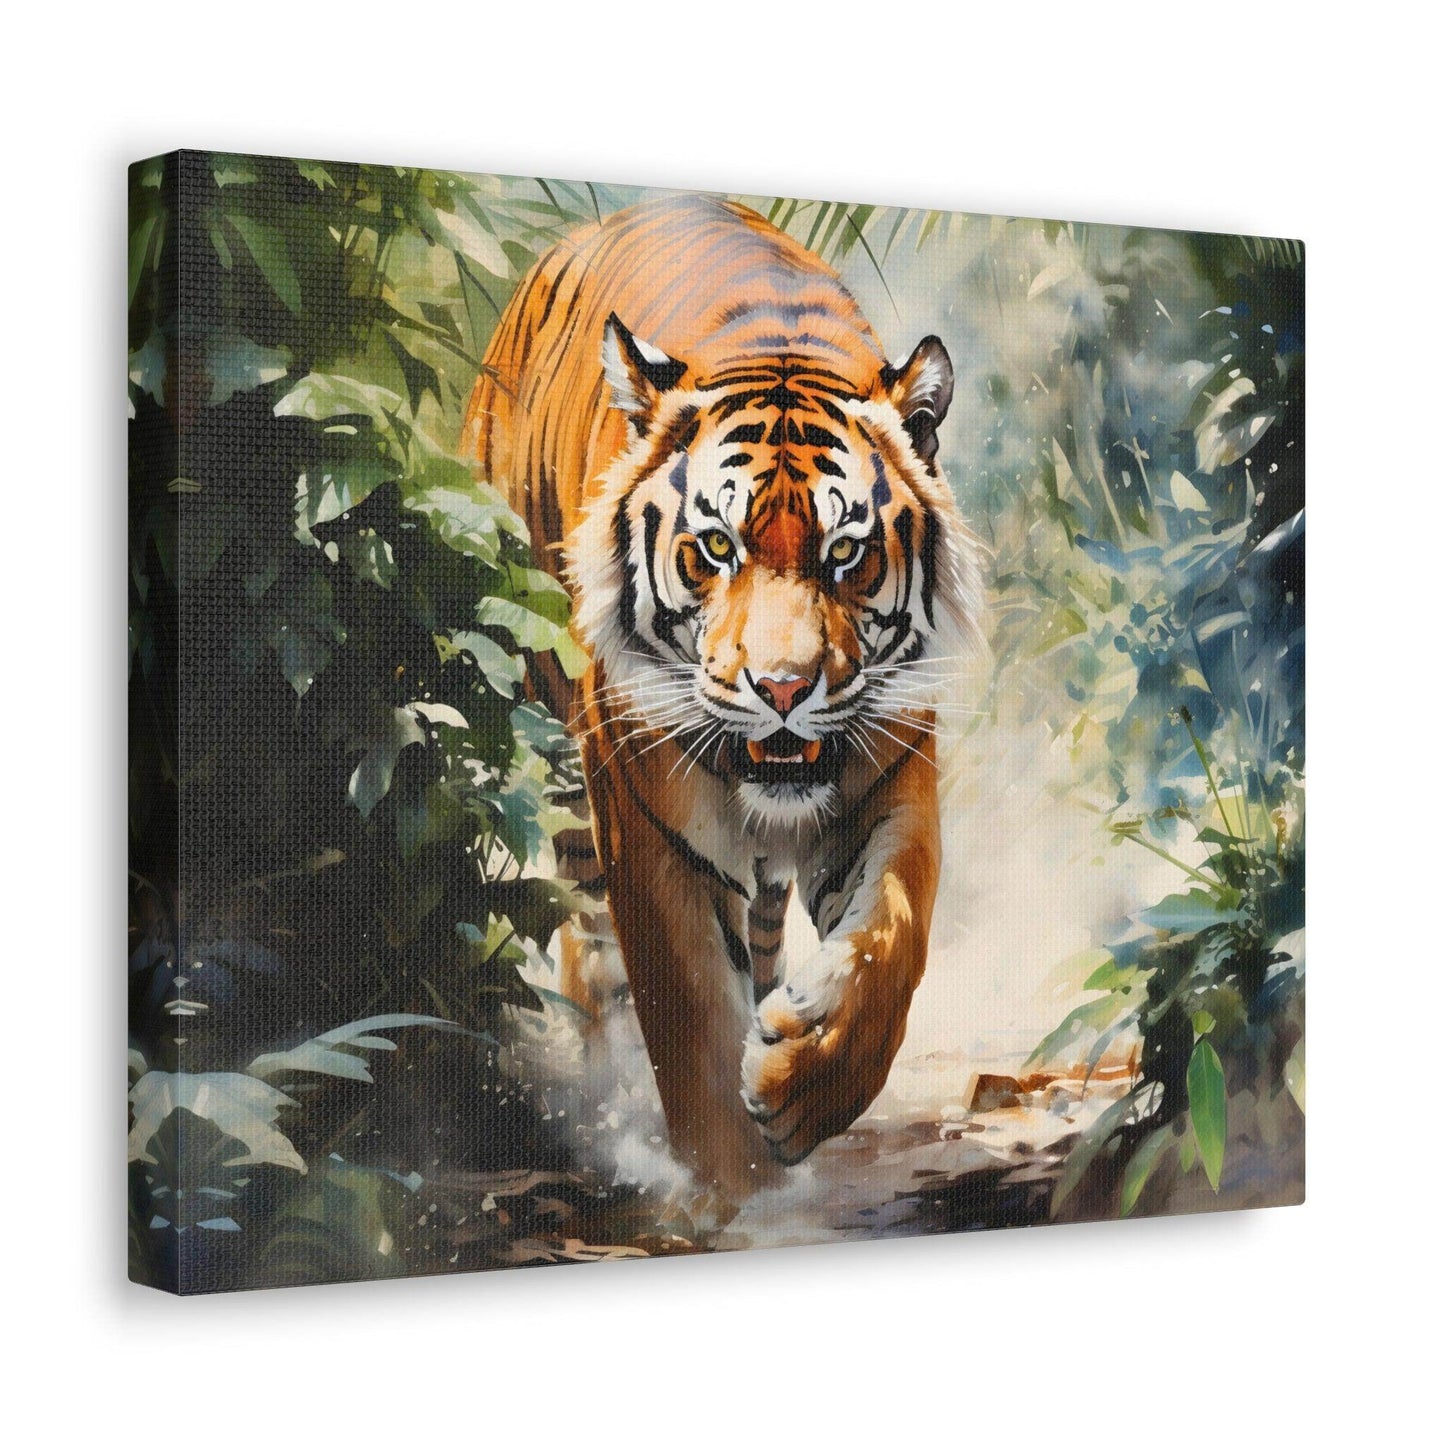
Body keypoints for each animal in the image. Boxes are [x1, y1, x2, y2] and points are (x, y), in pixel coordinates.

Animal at [463, 193, 983, 1199]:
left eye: (845, 552)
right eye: (716, 547)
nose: (781, 688)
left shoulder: (888, 776)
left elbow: (893, 935)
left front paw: (799, 1080)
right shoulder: (649, 825)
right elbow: (690, 1017)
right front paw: (733, 1189)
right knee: (592, 958)